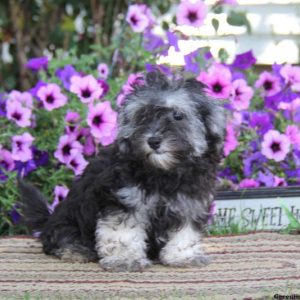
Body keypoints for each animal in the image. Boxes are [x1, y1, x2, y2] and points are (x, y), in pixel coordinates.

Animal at [18, 71, 225, 272]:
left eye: (178, 116)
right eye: (142, 116)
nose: (153, 141)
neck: (163, 171)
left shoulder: (189, 203)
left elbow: (185, 232)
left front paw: (183, 256)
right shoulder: (124, 199)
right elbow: (123, 232)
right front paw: (126, 260)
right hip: (67, 218)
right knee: (58, 237)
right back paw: (75, 249)